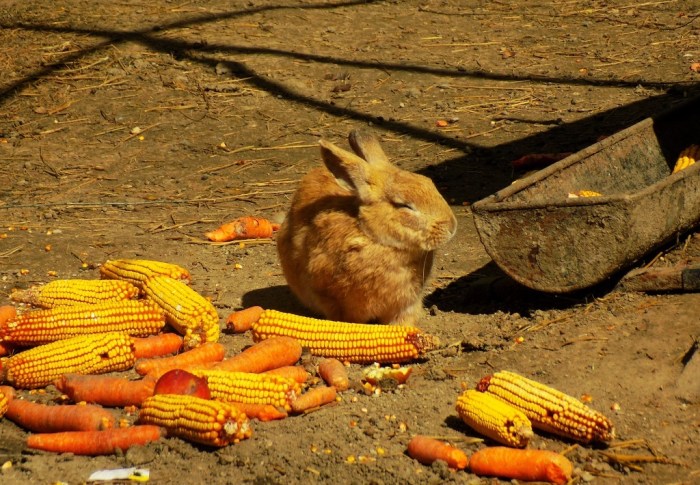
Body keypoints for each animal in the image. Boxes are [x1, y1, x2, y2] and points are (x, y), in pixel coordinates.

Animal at [276, 130, 456, 326]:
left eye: (429, 182)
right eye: (404, 205)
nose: (452, 227)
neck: (377, 240)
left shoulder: (406, 305)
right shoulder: (335, 302)